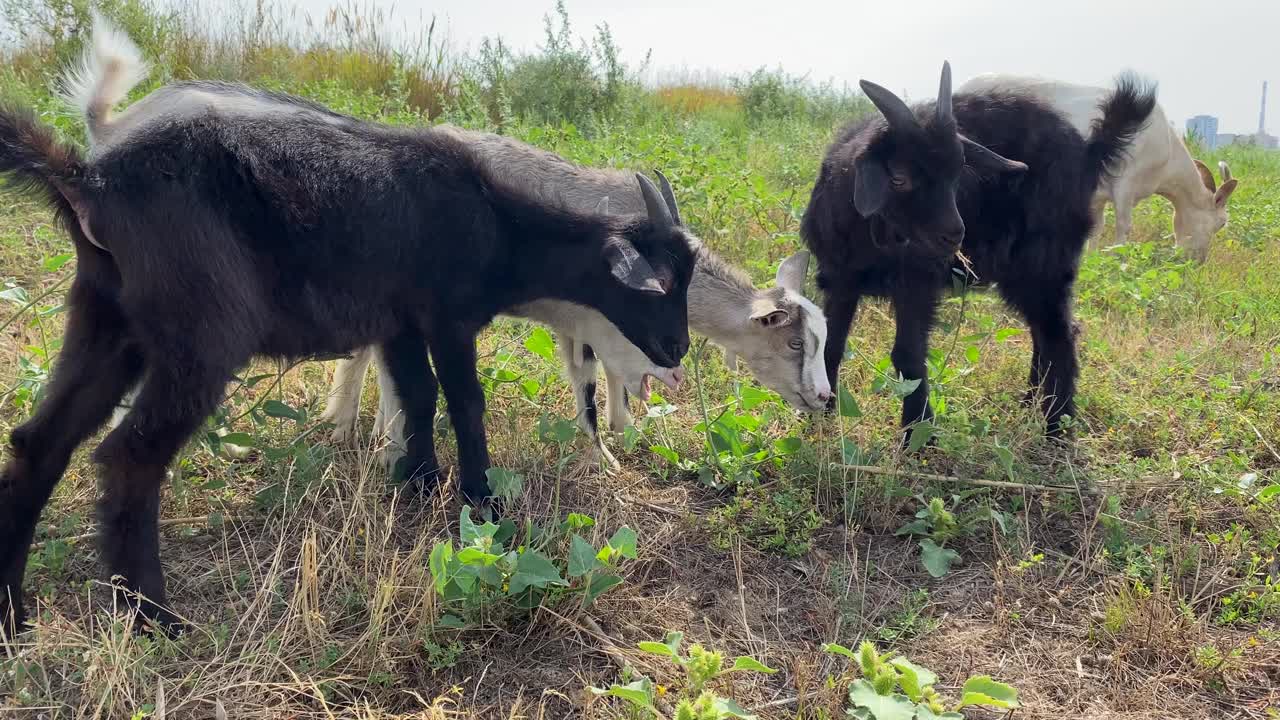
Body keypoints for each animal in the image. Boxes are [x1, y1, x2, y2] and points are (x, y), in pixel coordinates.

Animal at [0, 16, 701, 632]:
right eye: (661, 281)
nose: (677, 349)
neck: (497, 222)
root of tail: (89, 180)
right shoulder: (446, 316)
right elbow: (463, 400)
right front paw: (481, 504)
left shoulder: (400, 322)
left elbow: (418, 397)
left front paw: (419, 483)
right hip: (199, 333)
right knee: (127, 457)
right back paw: (155, 616)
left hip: (107, 319)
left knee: (40, 441)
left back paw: (13, 612)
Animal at [322, 128, 829, 466]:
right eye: (794, 342)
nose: (824, 397)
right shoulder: (585, 320)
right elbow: (589, 375)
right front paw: (605, 454)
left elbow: (618, 373)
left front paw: (626, 430)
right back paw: (367, 434)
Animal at [808, 60, 1162, 438]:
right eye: (899, 177)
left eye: (957, 172)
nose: (954, 235)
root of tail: (1088, 153)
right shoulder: (840, 280)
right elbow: (830, 344)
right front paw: (821, 416)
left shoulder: (916, 284)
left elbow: (908, 355)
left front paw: (919, 435)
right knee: (1043, 330)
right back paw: (1031, 404)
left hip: (1045, 261)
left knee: (1059, 334)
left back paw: (1057, 429)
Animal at [962, 72, 1239, 260]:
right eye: (1221, 223)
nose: (1198, 261)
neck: (1165, 149)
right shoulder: (1125, 184)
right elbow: (1123, 226)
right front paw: (1117, 258)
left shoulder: (1098, 195)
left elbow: (1096, 228)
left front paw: (1091, 257)